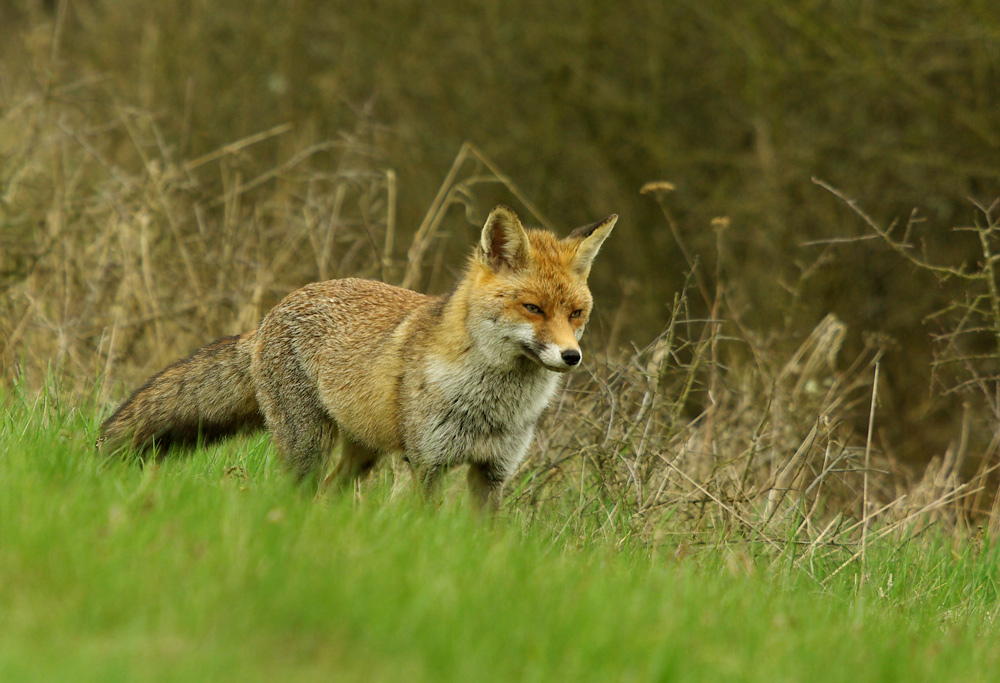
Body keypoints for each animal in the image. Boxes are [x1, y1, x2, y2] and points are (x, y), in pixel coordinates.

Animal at [101, 206, 616, 510]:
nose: (572, 356)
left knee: (330, 495)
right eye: (533, 308)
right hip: (307, 446)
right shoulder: (426, 464)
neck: (491, 405)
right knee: (299, 493)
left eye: (576, 313)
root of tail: (270, 314)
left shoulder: (492, 473)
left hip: (361, 453)